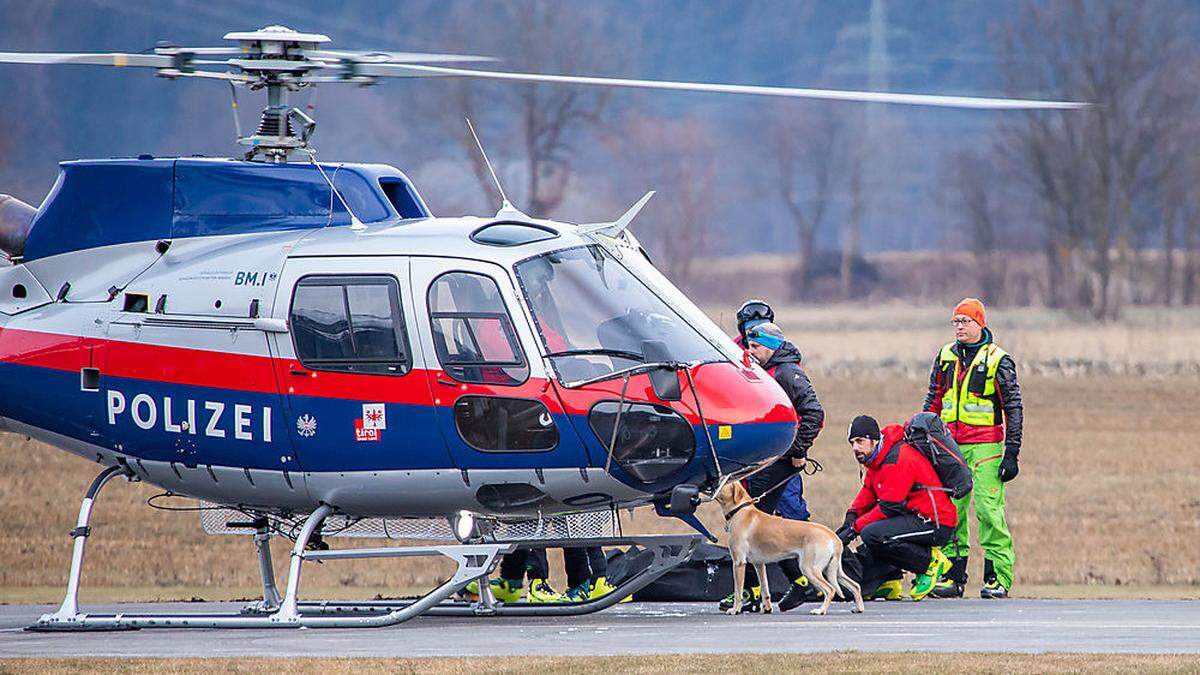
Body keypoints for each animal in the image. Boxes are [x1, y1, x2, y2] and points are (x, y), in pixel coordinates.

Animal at [710, 475, 864, 612]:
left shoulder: (739, 562)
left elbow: (738, 591)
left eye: (723, 482)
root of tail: (833, 536)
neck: (740, 510)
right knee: (855, 585)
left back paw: (820, 610)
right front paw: (767, 608)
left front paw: (735, 609)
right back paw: (858, 608)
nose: (711, 482)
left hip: (810, 568)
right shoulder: (759, 564)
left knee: (830, 589)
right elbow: (765, 589)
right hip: (832, 569)